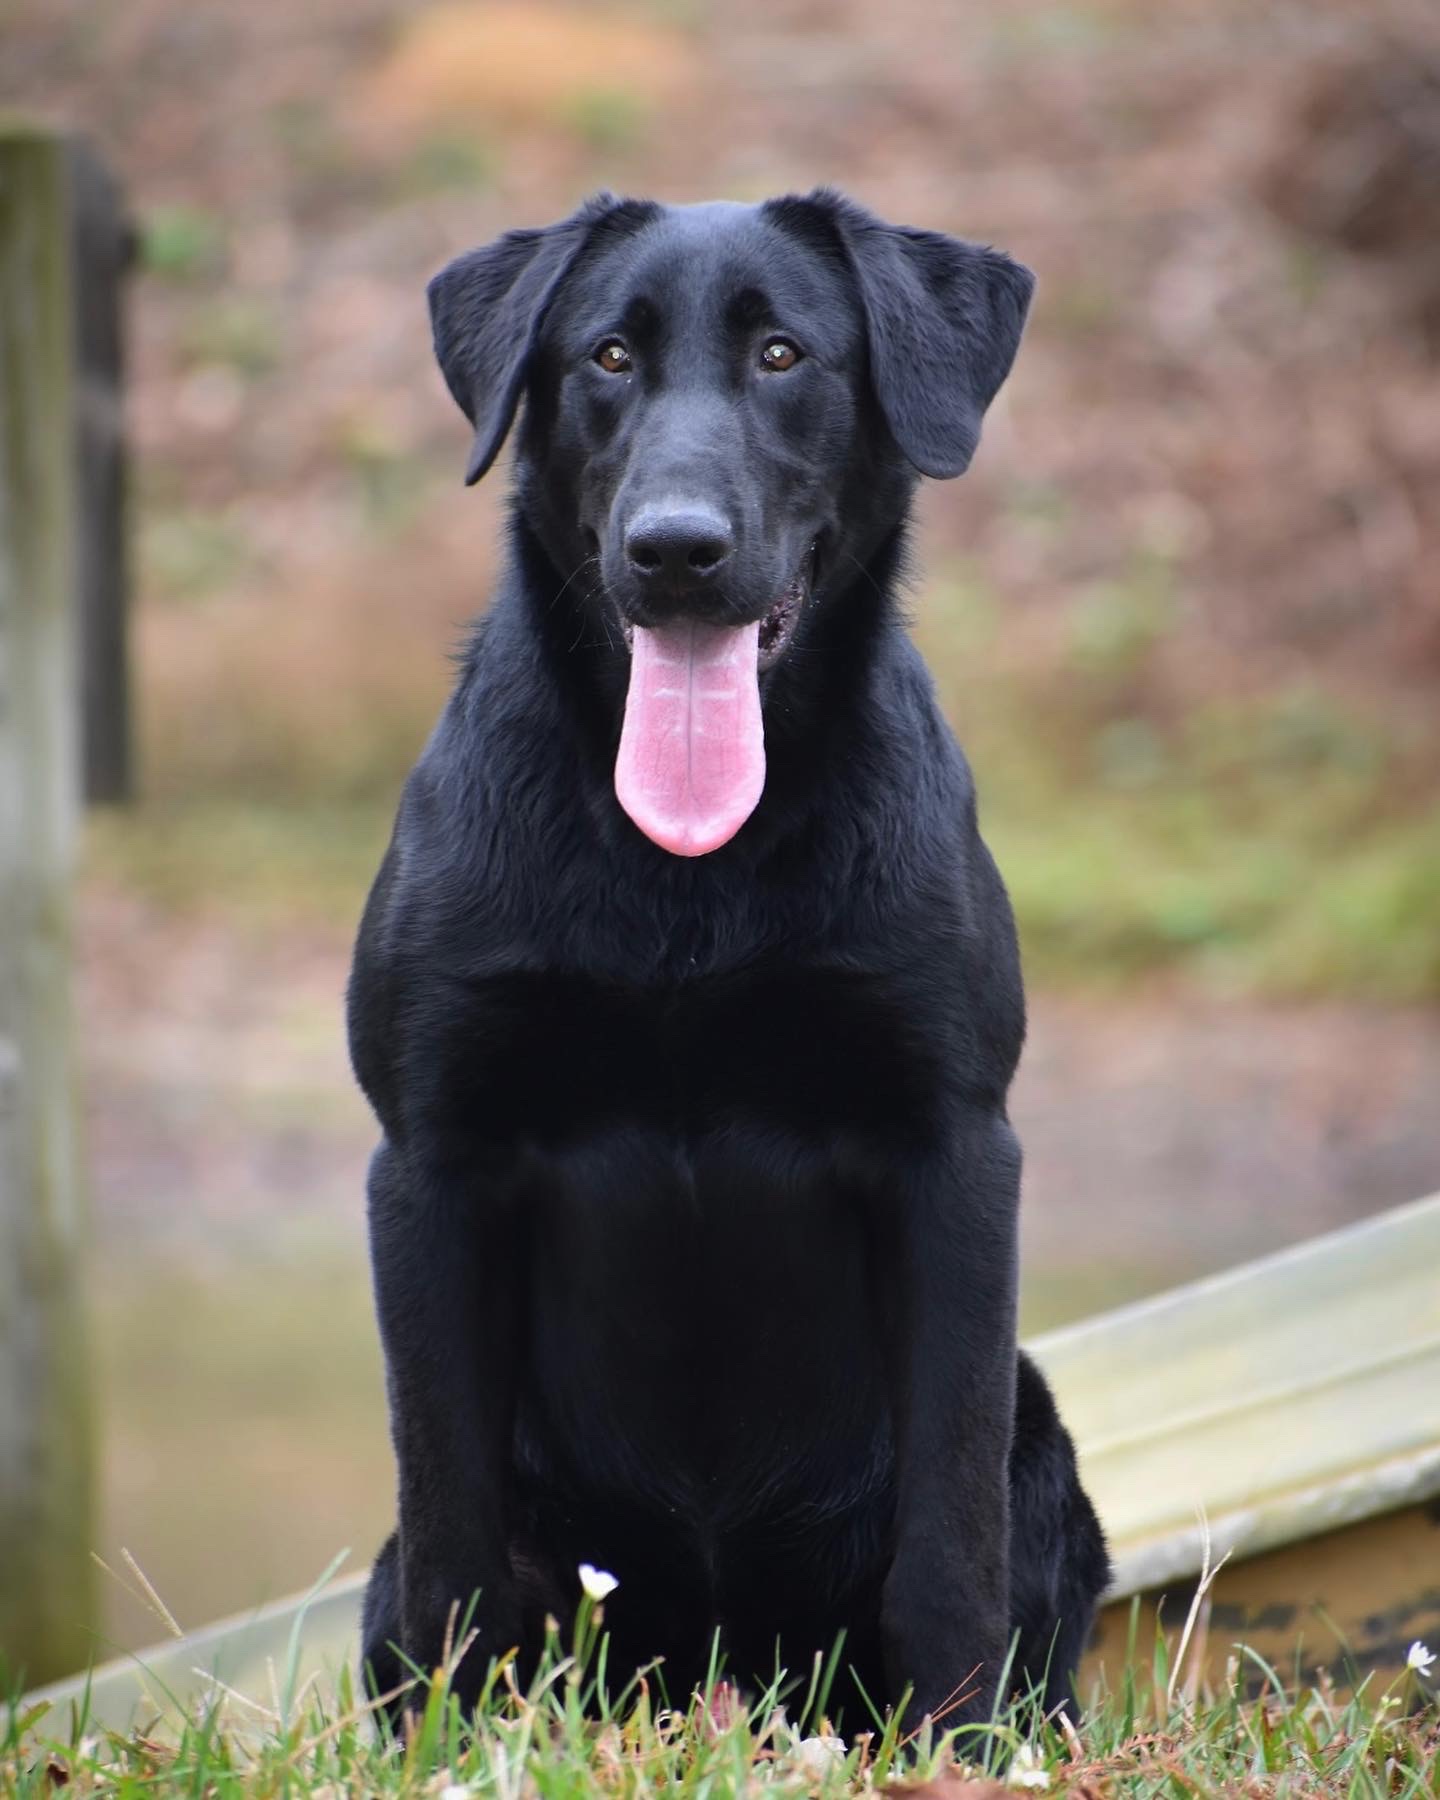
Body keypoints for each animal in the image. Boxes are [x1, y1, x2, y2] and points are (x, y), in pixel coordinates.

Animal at [351, 186, 1116, 1728]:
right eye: (606, 357)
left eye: (781, 354)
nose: (675, 548)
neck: (686, 878)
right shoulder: (432, 1157)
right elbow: (454, 1546)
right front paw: (450, 1747)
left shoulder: (951, 1148)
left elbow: (949, 1545)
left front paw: (960, 1741)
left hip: (1041, 1439)